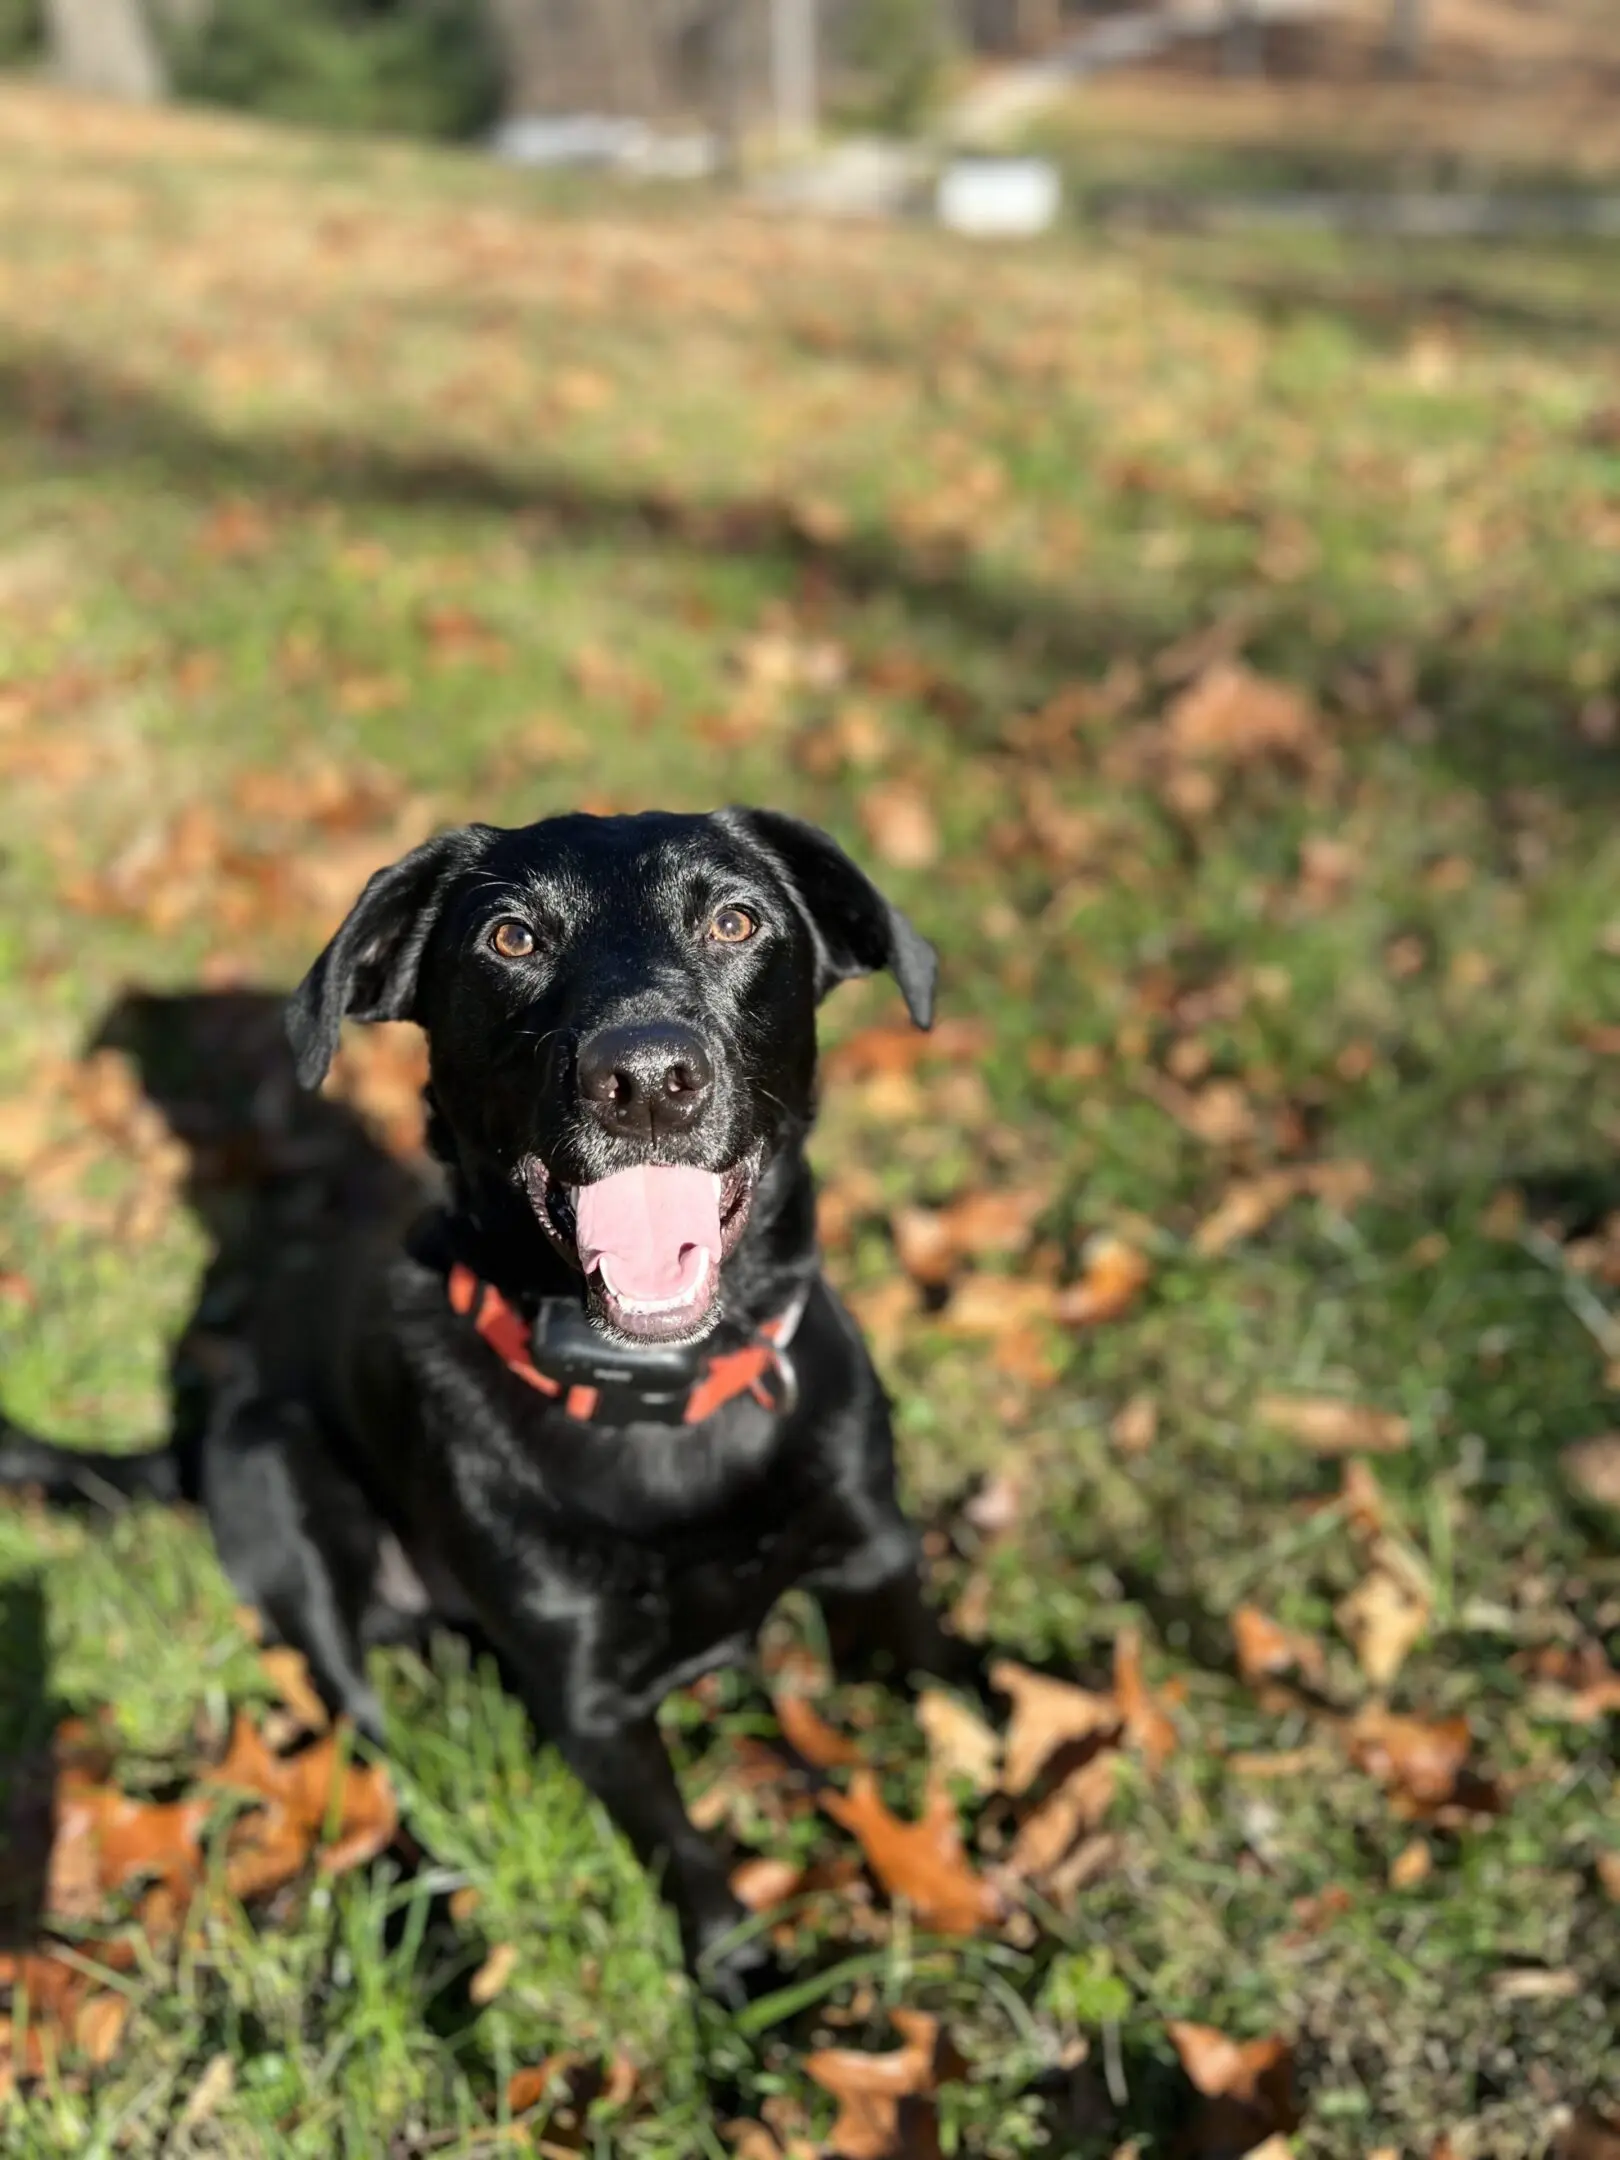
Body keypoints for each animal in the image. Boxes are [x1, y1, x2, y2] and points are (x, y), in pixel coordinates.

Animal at [0, 812, 984, 2004]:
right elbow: (684, 1849)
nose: (645, 1079)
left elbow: (935, 1686)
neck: (660, 1405)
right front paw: (743, 1980)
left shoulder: (877, 1550)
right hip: (278, 1481)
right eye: (510, 936)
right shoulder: (592, 1703)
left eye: (738, 920)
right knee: (371, 1758)